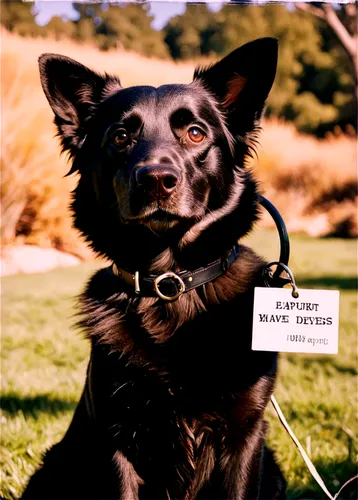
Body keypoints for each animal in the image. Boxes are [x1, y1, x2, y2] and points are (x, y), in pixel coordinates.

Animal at [21, 37, 286, 498]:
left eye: (195, 133)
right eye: (121, 136)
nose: (157, 180)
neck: (171, 283)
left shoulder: (246, 435)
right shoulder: (117, 439)